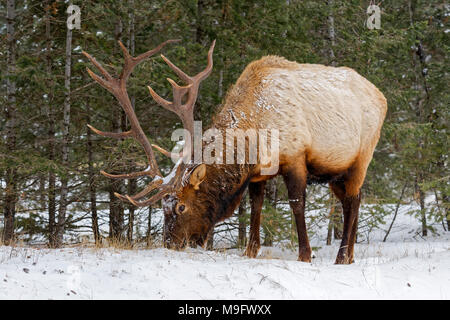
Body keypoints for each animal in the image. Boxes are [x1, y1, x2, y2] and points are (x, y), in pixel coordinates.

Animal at [83, 38, 386, 264]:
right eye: (163, 207)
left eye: (181, 206)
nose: (171, 244)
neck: (256, 134)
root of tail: (382, 97)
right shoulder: (259, 173)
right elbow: (256, 206)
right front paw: (251, 251)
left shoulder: (295, 158)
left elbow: (296, 204)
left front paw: (305, 255)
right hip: (335, 170)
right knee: (352, 199)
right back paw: (350, 256)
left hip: (361, 157)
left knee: (353, 200)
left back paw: (342, 256)